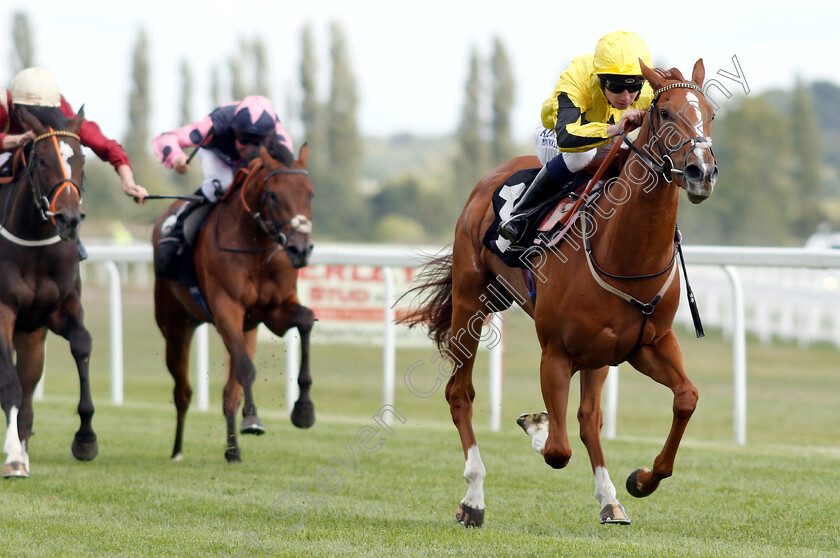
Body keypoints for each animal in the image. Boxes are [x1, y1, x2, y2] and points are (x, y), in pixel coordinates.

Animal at [0, 107, 96, 480]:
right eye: (41, 160)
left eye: (81, 158)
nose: (69, 219)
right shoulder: (3, 313)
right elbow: (9, 386)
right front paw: (13, 457)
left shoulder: (60, 310)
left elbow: (82, 345)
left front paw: (85, 439)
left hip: (31, 336)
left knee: (28, 386)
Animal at [153, 144, 316, 464]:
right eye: (273, 195)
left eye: (310, 193)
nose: (300, 250)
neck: (255, 246)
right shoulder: (225, 308)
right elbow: (246, 368)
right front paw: (252, 418)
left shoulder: (275, 311)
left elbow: (305, 319)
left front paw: (304, 409)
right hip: (176, 326)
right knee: (182, 391)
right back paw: (177, 450)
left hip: (247, 329)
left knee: (229, 392)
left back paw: (232, 450)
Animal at [398, 59, 716, 528]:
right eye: (664, 113)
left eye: (710, 114)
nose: (701, 172)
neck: (624, 253)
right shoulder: (556, 353)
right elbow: (557, 449)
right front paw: (537, 425)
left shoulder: (646, 344)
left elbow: (684, 400)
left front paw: (640, 480)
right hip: (470, 301)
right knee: (460, 393)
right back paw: (473, 499)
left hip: (590, 348)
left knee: (588, 419)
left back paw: (609, 500)